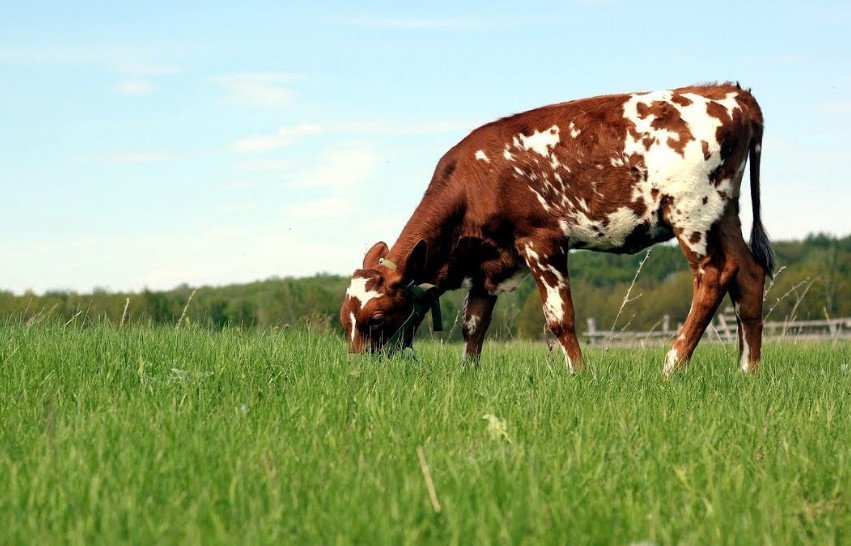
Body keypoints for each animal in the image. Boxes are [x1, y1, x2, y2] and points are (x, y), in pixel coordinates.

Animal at [338, 83, 772, 374]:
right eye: (346, 320)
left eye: (378, 319)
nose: (357, 371)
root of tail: (730, 93)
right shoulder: (489, 265)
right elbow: (472, 327)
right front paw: (467, 376)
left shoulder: (541, 240)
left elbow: (560, 318)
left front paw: (579, 375)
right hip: (725, 213)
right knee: (748, 275)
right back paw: (747, 373)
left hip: (690, 211)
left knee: (714, 276)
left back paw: (672, 364)